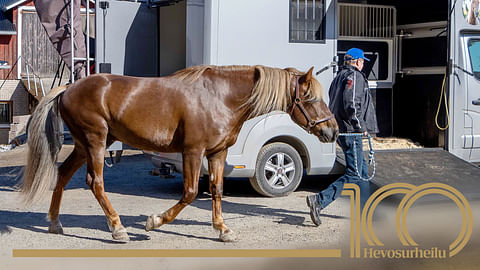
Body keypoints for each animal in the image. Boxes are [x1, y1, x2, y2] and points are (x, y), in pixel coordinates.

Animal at [21, 65, 338, 243]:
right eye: (311, 98)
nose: (333, 131)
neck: (221, 96)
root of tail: (68, 88)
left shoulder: (218, 153)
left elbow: (217, 190)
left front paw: (223, 230)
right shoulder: (193, 152)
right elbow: (190, 192)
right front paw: (154, 221)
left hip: (84, 145)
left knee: (63, 175)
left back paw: (55, 224)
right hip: (95, 142)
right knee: (95, 182)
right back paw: (118, 229)